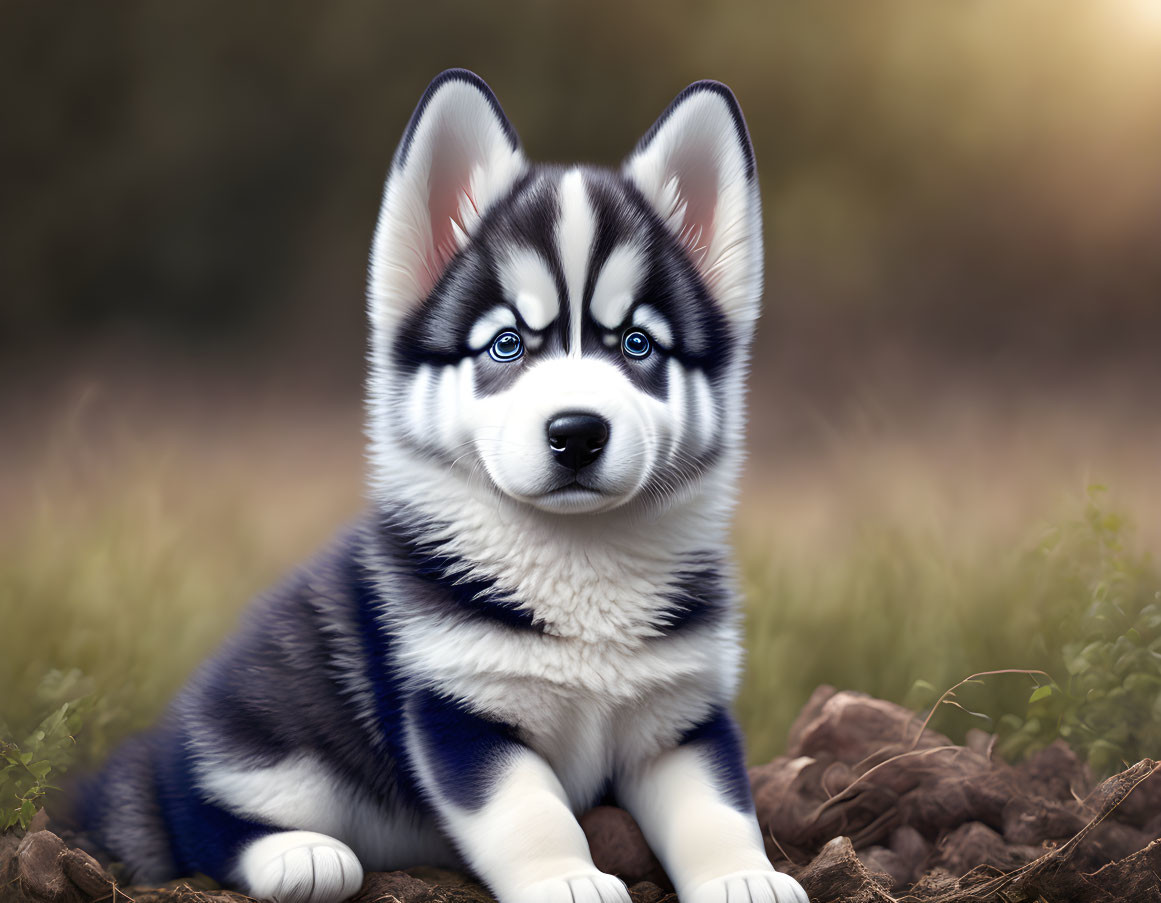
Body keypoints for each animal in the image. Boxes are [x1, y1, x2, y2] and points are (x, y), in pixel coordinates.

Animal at [79, 68, 808, 900]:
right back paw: (299, 854)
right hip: (273, 745)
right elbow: (531, 813)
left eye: (636, 344)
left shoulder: (680, 712)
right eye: (506, 344)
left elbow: (717, 807)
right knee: (201, 816)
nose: (577, 432)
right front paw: (567, 878)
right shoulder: (458, 707)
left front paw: (742, 876)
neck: (580, 563)